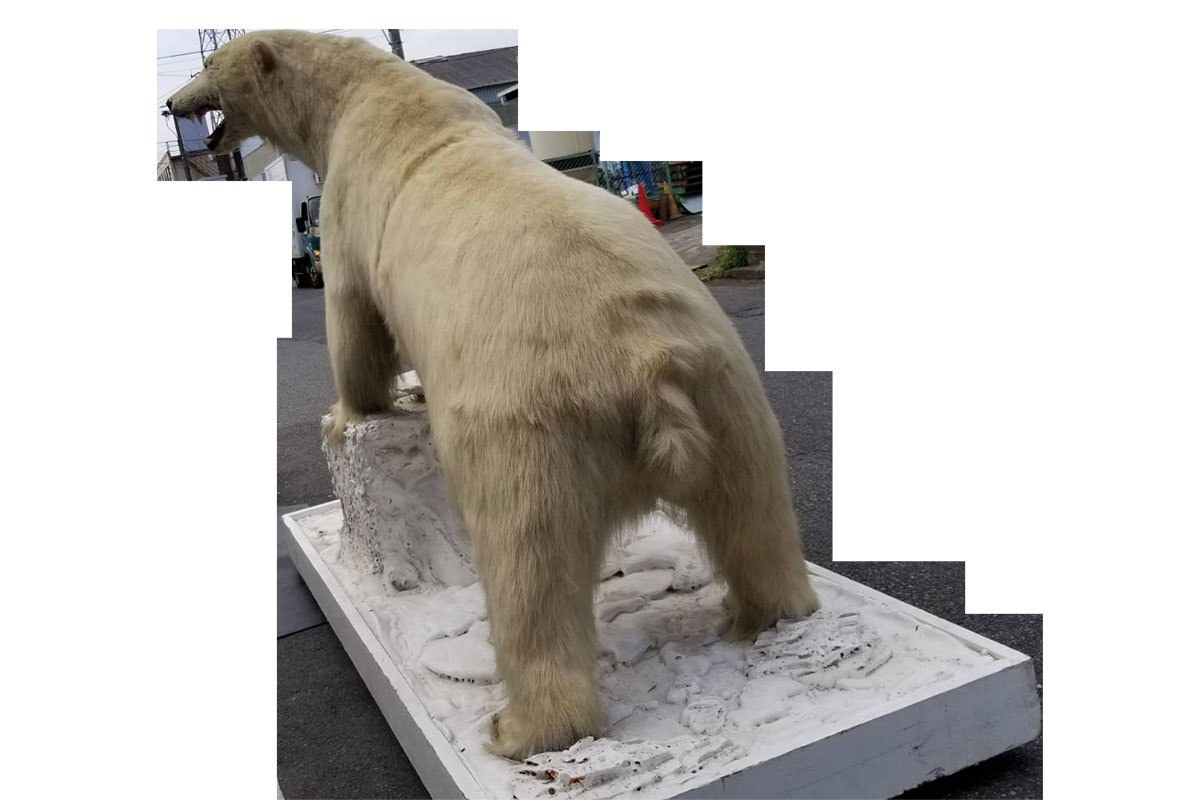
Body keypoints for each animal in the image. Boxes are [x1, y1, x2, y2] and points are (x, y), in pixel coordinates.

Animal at [168, 30, 820, 760]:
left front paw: (345, 416)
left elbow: (353, 321)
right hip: (725, 388)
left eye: (207, 65)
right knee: (752, 511)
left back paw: (521, 728)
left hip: (528, 430)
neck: (366, 91)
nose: (170, 102)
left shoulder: (348, 204)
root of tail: (649, 374)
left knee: (526, 566)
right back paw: (764, 613)